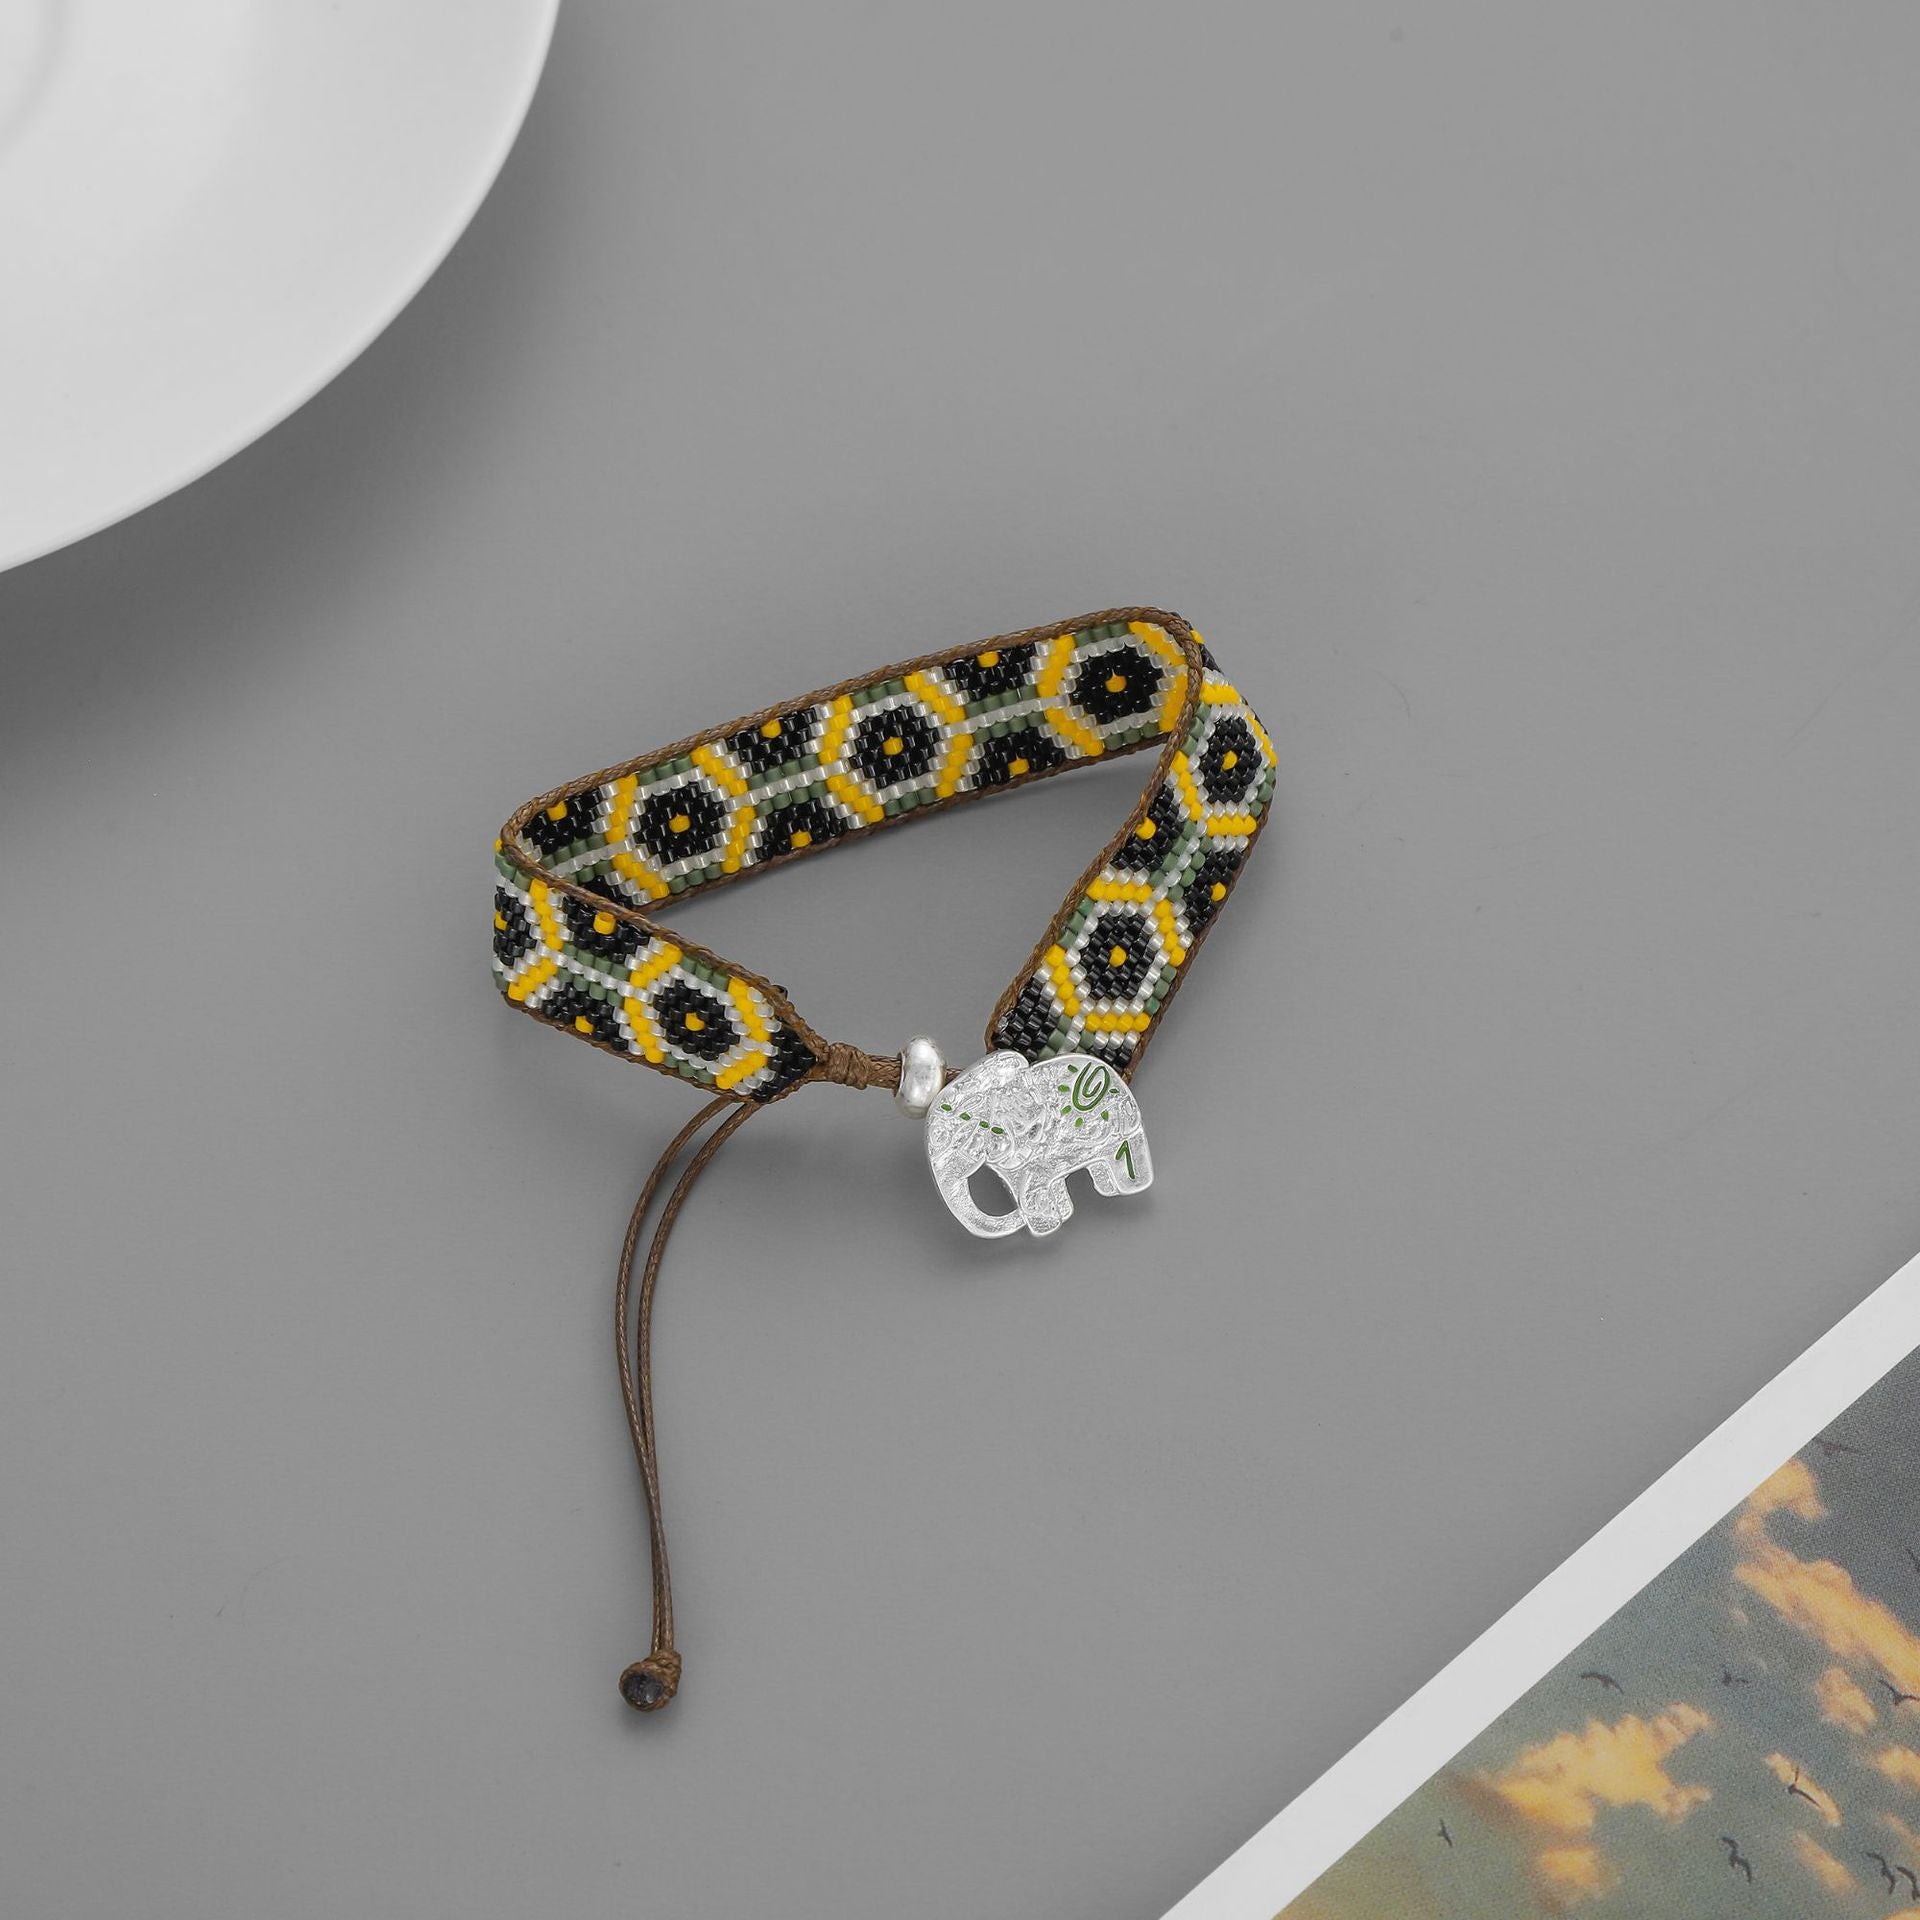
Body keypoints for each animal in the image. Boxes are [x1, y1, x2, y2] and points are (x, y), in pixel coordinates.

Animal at [924, 1050, 1153, 1237]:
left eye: (940, 1136)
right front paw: (1051, 1220)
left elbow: (1033, 1180)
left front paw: (1043, 1216)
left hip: (1124, 1122)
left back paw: (1132, 1186)